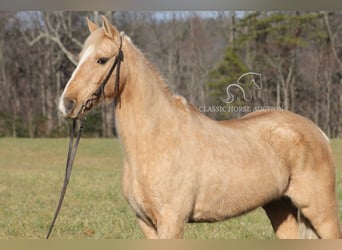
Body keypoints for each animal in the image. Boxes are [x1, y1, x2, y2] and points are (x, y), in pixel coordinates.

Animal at [57, 15, 340, 238]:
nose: (67, 104)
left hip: (321, 212)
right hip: (280, 207)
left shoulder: (171, 222)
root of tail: (317, 132)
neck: (155, 141)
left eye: (102, 60)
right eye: (79, 58)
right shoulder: (146, 224)